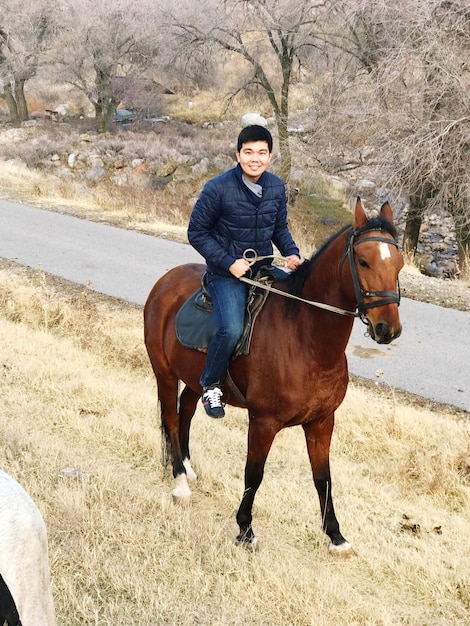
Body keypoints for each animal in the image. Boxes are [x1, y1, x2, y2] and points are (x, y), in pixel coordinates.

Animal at [144, 197, 404, 552]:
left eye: (399, 264)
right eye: (363, 261)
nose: (388, 329)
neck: (306, 340)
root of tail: (166, 281)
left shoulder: (322, 422)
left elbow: (323, 477)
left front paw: (335, 535)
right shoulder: (263, 422)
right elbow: (254, 474)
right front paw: (245, 529)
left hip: (197, 380)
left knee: (186, 412)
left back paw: (187, 467)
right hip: (164, 373)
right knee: (171, 418)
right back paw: (180, 482)